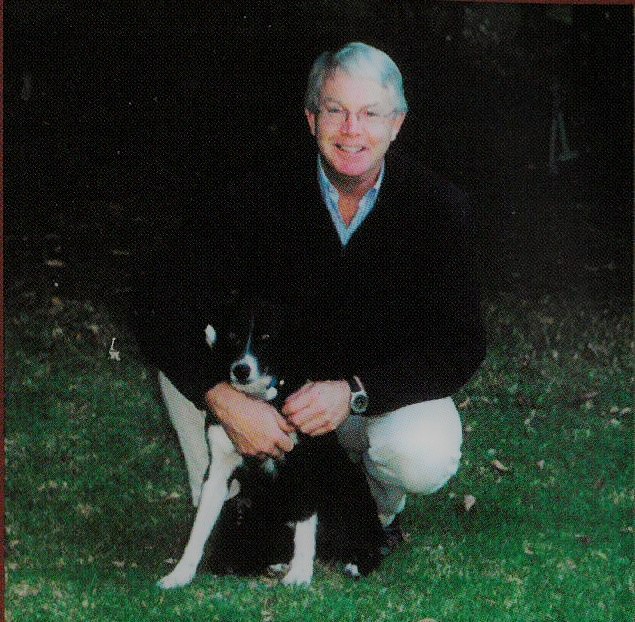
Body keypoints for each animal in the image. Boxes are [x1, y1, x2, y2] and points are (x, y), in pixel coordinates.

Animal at [160, 302, 388, 588]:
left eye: (266, 337)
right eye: (233, 336)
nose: (241, 369)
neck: (261, 399)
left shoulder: (305, 468)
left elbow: (305, 526)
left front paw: (300, 573)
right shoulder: (217, 473)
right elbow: (199, 528)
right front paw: (180, 573)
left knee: (366, 544)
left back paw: (354, 563)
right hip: (245, 509)